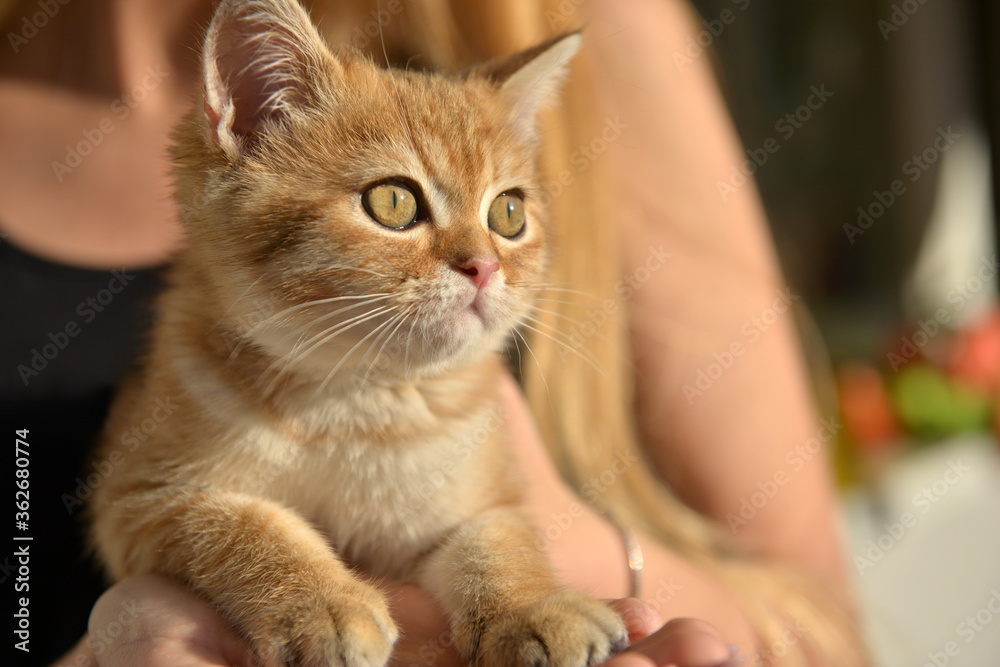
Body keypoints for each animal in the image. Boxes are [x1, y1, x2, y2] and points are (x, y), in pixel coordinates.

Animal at [94, 0, 624, 664]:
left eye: (508, 213)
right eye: (393, 202)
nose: (484, 266)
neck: (358, 406)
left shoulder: (477, 497)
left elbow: (496, 541)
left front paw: (534, 607)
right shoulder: (139, 495)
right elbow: (242, 524)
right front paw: (321, 603)